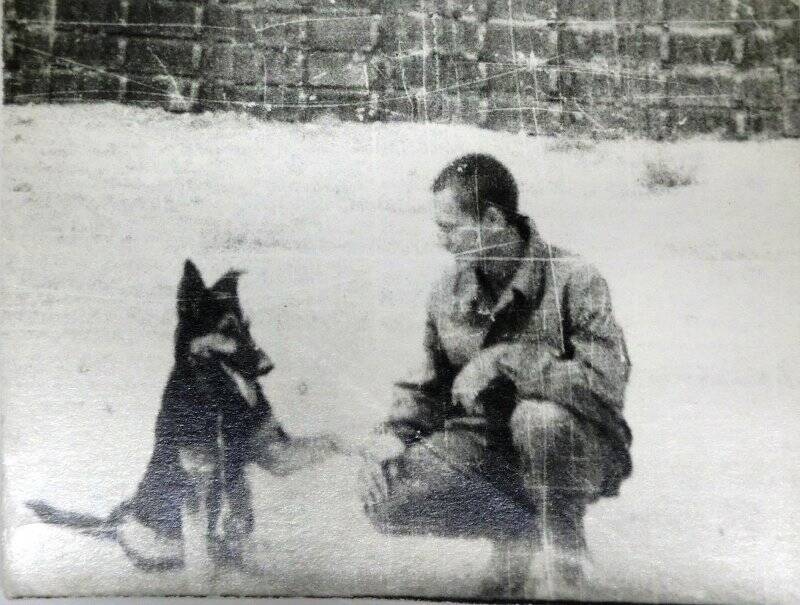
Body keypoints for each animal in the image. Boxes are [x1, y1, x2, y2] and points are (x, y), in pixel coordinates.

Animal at [28, 260, 340, 572]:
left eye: (248, 328)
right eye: (227, 329)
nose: (268, 366)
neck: (216, 402)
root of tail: (116, 520)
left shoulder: (270, 455)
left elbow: (327, 442)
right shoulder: (196, 486)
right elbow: (203, 551)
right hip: (149, 532)